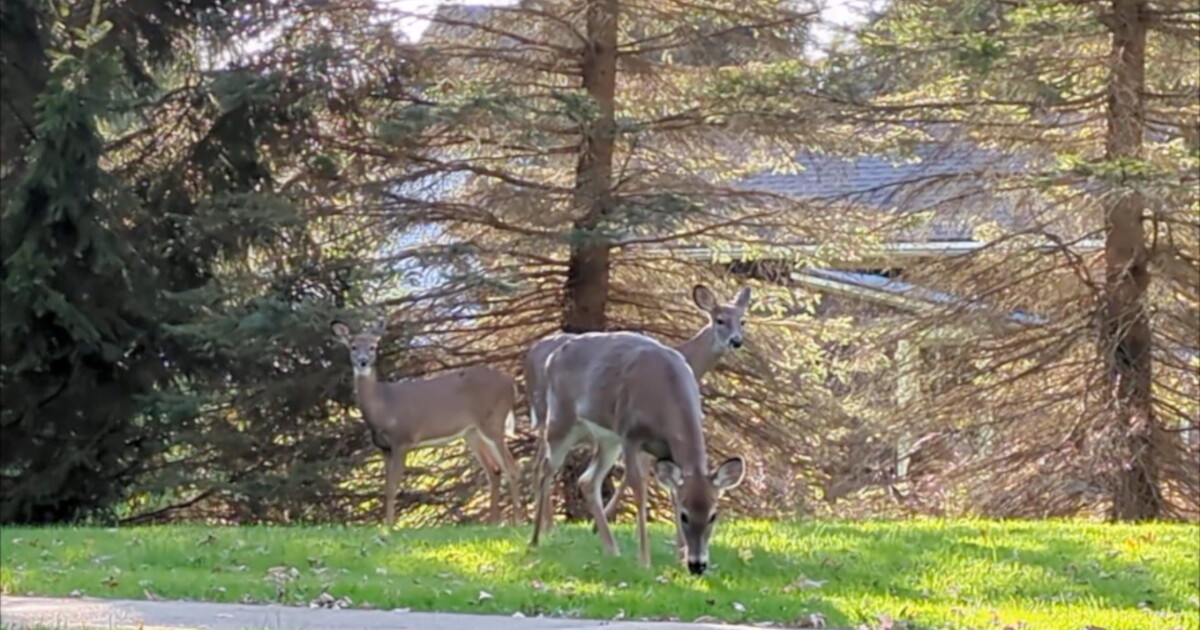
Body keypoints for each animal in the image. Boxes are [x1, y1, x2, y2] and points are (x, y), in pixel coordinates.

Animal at [331, 319, 522, 527]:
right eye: (353, 346)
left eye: (373, 346)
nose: (363, 361)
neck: (384, 405)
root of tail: (511, 383)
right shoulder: (384, 448)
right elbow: (386, 487)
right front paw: (386, 525)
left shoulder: (403, 439)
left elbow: (393, 487)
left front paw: (389, 527)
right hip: (472, 432)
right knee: (494, 471)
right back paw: (492, 523)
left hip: (493, 422)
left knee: (512, 469)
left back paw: (516, 521)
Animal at [524, 284, 750, 531]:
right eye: (720, 320)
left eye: (742, 320)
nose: (736, 341)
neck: (689, 360)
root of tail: (531, 354)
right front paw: (600, 523)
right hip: (549, 413)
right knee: (541, 463)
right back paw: (546, 526)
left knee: (538, 463)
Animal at [529, 331, 745, 575]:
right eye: (684, 516)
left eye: (713, 515)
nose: (697, 565)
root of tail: (553, 356)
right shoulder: (631, 435)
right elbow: (639, 489)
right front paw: (644, 561)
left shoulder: (664, 448)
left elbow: (672, 493)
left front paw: (680, 558)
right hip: (561, 422)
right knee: (545, 469)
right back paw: (536, 539)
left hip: (607, 440)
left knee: (587, 480)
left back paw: (612, 549)